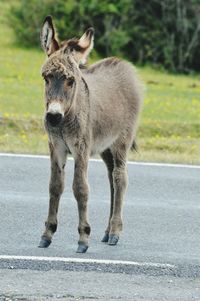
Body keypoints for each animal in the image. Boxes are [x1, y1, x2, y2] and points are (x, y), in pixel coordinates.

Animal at [38, 15, 143, 252]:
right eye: (46, 78)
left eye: (71, 81)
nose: (53, 117)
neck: (66, 117)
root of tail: (124, 64)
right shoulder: (56, 146)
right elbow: (54, 186)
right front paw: (47, 235)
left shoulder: (81, 147)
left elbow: (80, 188)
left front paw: (83, 238)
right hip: (106, 147)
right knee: (111, 178)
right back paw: (107, 232)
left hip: (121, 142)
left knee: (120, 178)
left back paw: (114, 233)